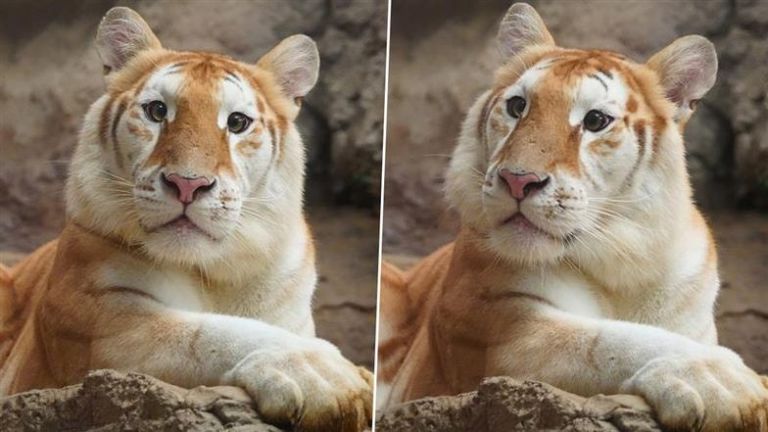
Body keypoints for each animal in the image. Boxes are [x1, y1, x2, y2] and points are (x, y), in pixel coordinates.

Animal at [0, 7, 372, 432]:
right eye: (157, 111)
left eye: (237, 122)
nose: (187, 184)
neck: (214, 272)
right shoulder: (97, 321)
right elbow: (210, 333)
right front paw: (325, 376)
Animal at [378, 4, 768, 432]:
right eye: (518, 106)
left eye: (595, 120)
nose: (518, 180)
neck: (625, 266)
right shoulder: (495, 326)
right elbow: (606, 341)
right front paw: (719, 379)